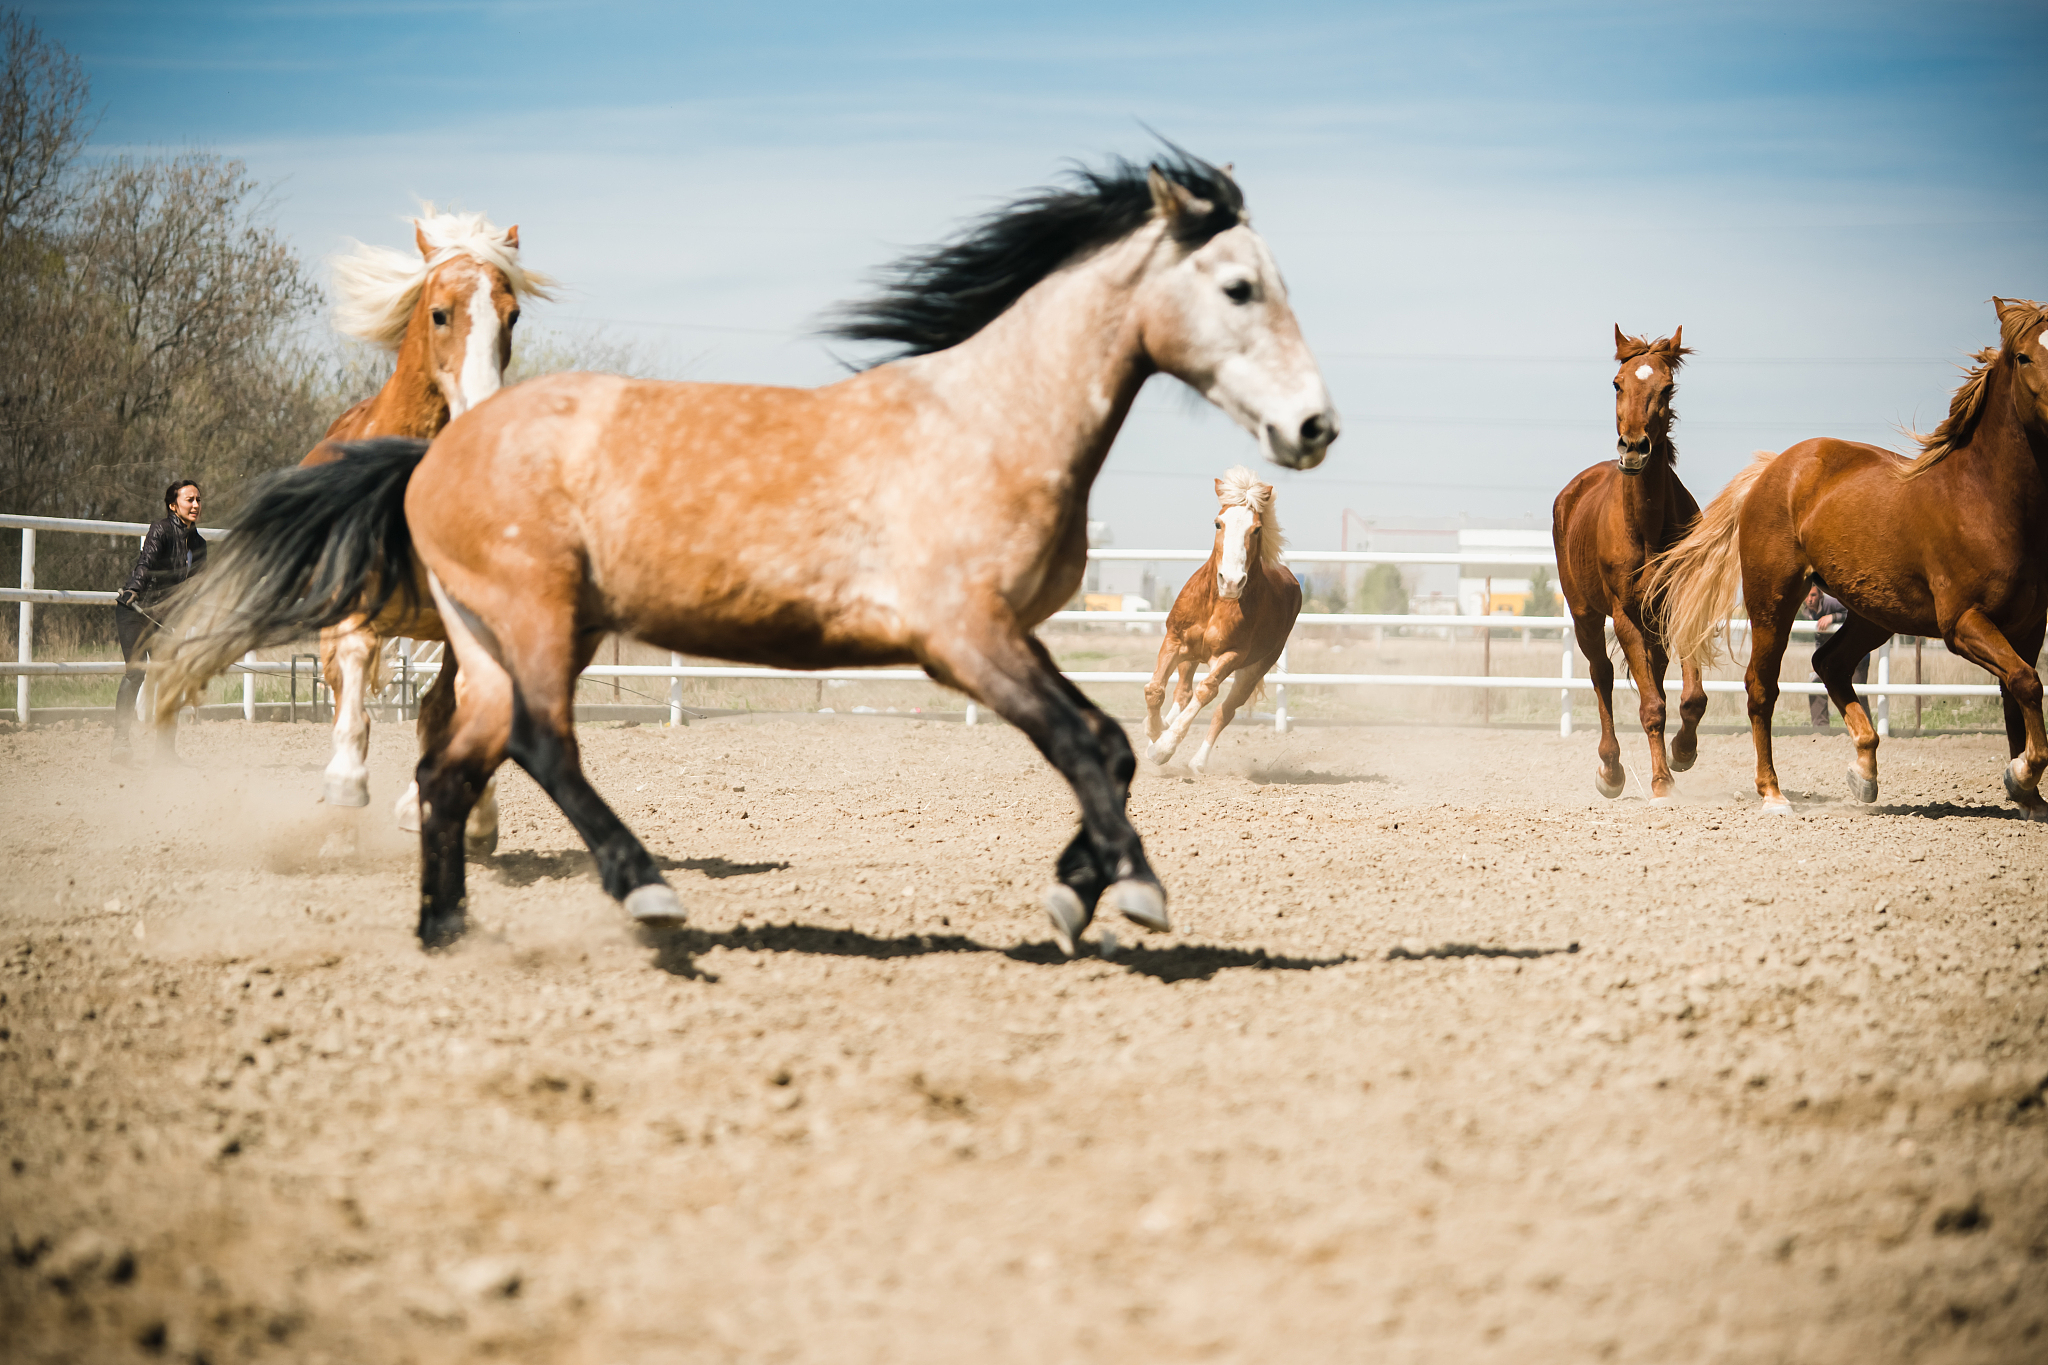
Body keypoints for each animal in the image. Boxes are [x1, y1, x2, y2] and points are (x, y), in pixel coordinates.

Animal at [303, 208, 554, 852]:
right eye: (440, 312)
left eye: (513, 315)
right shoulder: (357, 607)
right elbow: (357, 669)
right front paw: (346, 782)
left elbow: (452, 707)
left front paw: (467, 815)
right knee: (343, 686)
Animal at [1142, 467, 1300, 774]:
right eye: (1218, 524)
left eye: (1256, 528)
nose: (1230, 581)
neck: (1217, 603)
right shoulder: (1174, 640)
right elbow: (1155, 690)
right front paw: (1154, 731)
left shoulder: (1232, 656)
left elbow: (1207, 692)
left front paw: (1163, 748)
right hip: (1190, 657)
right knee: (1182, 692)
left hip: (1253, 670)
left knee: (1224, 711)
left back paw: (1197, 762)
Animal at [1551, 327, 1708, 803]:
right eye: (1617, 384)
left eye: (1667, 387)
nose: (1634, 449)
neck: (1645, 526)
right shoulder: (1624, 616)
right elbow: (1651, 706)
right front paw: (1661, 781)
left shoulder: (1678, 605)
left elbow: (1690, 698)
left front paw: (1682, 752)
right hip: (1585, 614)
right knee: (1600, 675)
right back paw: (1611, 769)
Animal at [1650, 297, 2048, 817]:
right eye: (2024, 355)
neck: (1989, 501)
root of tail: (1774, 468)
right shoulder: (1963, 623)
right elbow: (2027, 684)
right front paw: (2021, 777)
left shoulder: (2028, 628)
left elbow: (2018, 695)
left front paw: (2030, 796)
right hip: (1774, 600)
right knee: (1762, 687)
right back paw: (1773, 793)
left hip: (1874, 613)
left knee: (1830, 663)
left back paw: (1864, 771)